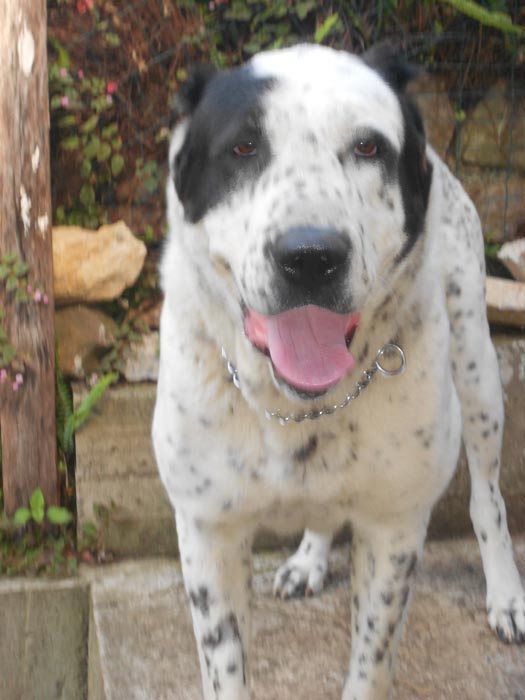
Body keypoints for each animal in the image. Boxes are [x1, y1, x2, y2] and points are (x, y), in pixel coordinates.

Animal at [152, 43, 524, 700]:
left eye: (368, 147)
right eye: (243, 147)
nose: (309, 256)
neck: (296, 404)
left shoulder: (394, 528)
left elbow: (371, 660)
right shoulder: (207, 532)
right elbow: (225, 666)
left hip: (479, 372)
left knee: (488, 498)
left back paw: (505, 592)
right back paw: (309, 558)